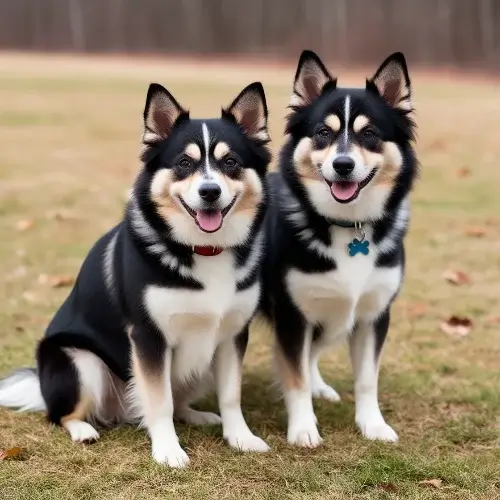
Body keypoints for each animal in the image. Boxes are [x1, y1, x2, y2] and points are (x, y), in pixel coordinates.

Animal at [0, 78, 272, 464]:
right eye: (184, 163)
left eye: (230, 162)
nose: (209, 191)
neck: (203, 249)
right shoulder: (148, 337)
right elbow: (159, 401)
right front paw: (168, 450)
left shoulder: (232, 334)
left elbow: (230, 395)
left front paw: (240, 438)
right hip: (82, 362)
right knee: (61, 414)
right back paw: (82, 429)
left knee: (179, 399)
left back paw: (196, 415)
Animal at [262, 50, 418, 448]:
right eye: (323, 133)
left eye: (370, 134)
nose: (343, 165)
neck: (348, 226)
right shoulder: (293, 314)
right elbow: (295, 378)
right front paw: (303, 428)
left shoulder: (373, 315)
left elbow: (367, 379)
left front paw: (372, 425)